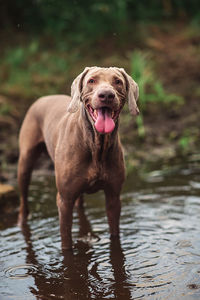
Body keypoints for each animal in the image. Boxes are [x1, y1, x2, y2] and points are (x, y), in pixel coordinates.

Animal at [17, 67, 139, 250]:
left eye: (117, 81)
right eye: (91, 81)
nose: (106, 95)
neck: (96, 144)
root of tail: (43, 97)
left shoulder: (114, 196)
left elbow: (114, 233)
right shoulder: (64, 200)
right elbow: (66, 240)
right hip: (25, 162)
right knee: (24, 198)